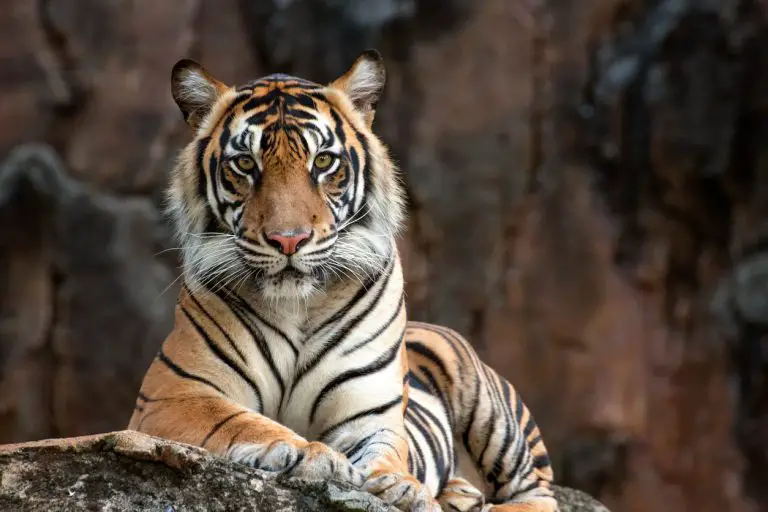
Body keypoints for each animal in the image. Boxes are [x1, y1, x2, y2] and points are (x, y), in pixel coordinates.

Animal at [127, 49, 560, 512]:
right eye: (245, 164)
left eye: (323, 162)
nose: (289, 239)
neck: (296, 305)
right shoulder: (175, 393)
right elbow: (242, 421)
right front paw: (308, 453)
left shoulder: (372, 412)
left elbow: (388, 451)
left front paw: (402, 487)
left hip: (491, 411)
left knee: (537, 490)